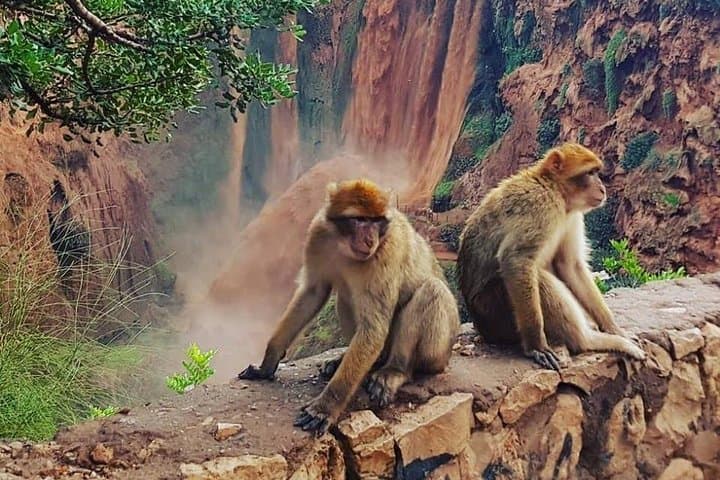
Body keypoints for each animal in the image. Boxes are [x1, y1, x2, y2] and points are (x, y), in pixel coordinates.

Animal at [239, 178, 460, 434]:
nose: (370, 240)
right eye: (360, 219)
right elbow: (313, 292)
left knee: (431, 290)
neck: (344, 245)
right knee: (345, 299)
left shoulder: (387, 251)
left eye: (376, 221)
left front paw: (326, 407)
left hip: (438, 353)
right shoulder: (318, 235)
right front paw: (267, 364)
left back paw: (395, 370)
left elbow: (373, 328)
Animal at [457, 143, 645, 370]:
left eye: (597, 172)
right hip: (494, 313)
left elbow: (570, 265)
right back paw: (588, 340)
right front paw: (536, 345)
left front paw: (613, 327)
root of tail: (482, 328)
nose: (602, 188)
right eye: (590, 173)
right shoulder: (539, 206)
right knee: (535, 276)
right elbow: (517, 261)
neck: (555, 190)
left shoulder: (573, 216)